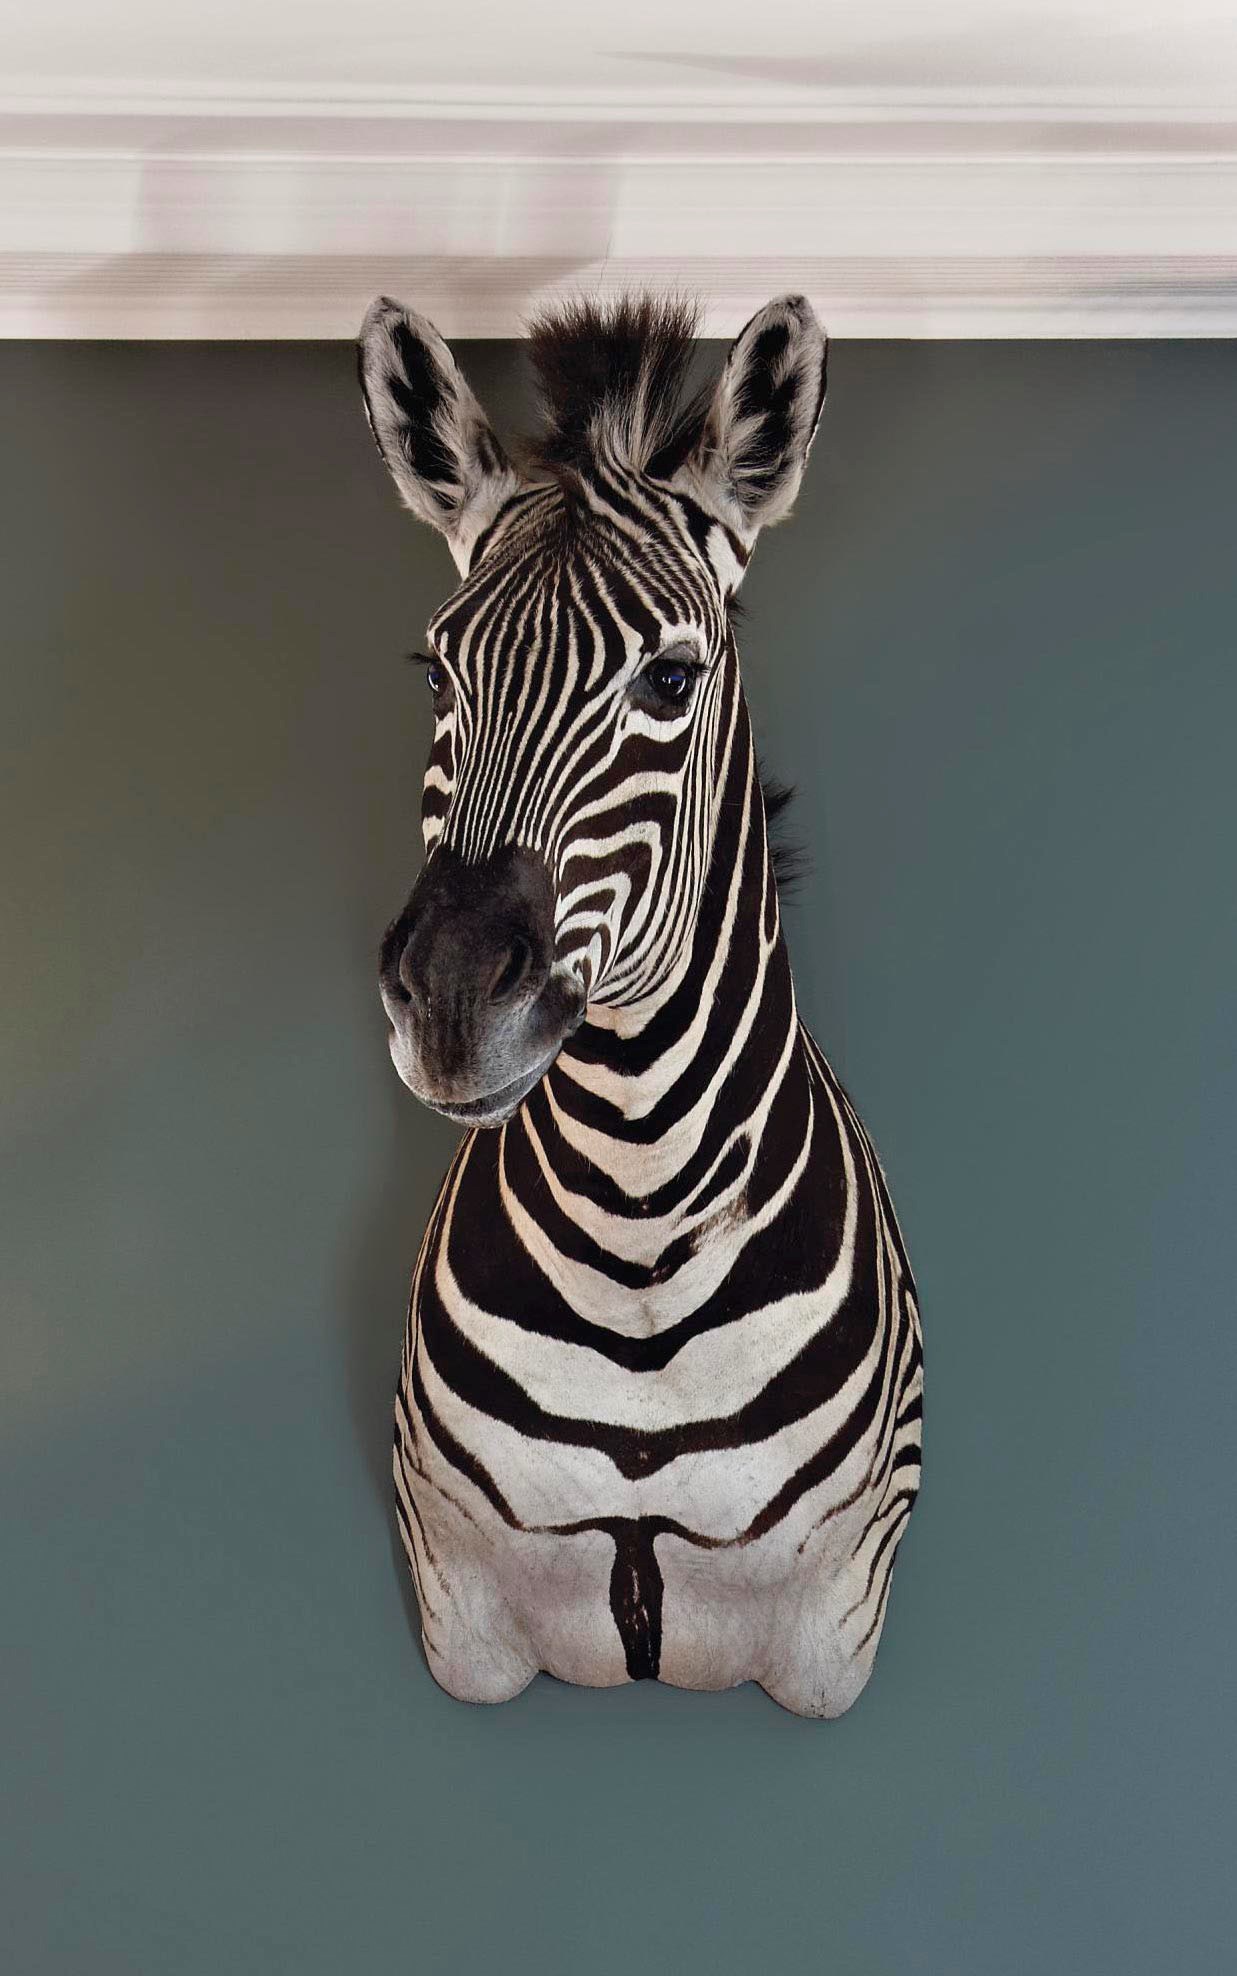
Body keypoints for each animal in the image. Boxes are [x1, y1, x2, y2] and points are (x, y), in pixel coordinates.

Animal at [357, 291, 922, 1717]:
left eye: (669, 682)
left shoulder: (834, 1617)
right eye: (435, 675)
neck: (639, 1215)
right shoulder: (460, 1594)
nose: (450, 1000)